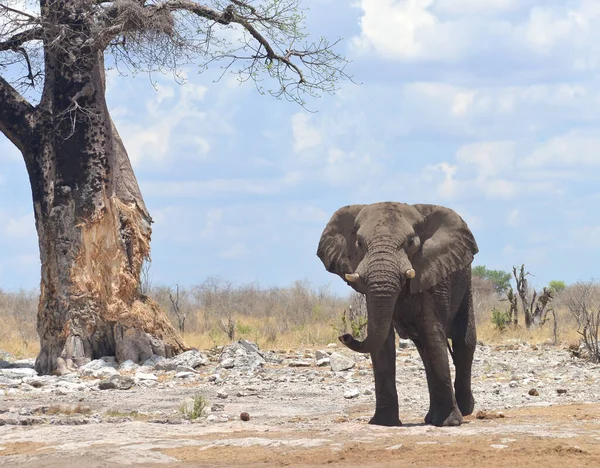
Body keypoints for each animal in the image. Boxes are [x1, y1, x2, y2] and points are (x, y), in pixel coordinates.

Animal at [316, 199, 480, 426]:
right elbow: (382, 341)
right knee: (424, 350)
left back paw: (465, 410)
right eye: (359, 243)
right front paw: (383, 422)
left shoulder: (431, 273)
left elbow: (432, 334)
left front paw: (449, 423)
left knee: (463, 343)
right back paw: (432, 417)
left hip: (465, 284)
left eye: (410, 242)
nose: (345, 335)